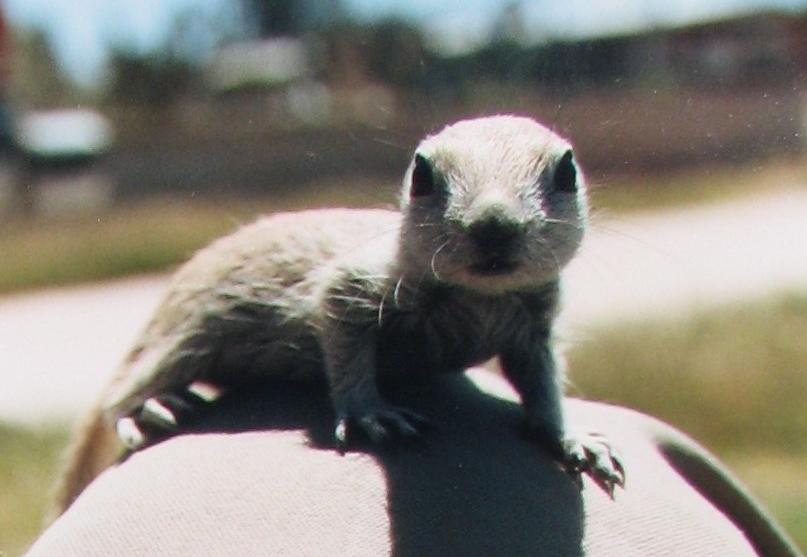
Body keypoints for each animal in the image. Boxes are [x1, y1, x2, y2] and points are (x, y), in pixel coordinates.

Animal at [53, 115, 624, 516]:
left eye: (566, 171)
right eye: (422, 175)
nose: (494, 225)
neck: (481, 297)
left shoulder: (535, 327)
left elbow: (541, 382)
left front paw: (573, 438)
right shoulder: (355, 284)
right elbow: (344, 338)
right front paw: (372, 413)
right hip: (180, 334)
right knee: (119, 392)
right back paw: (148, 408)